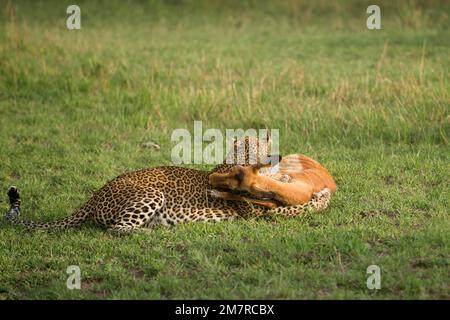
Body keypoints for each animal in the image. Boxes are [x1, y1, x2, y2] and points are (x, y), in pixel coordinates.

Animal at [3, 135, 332, 232]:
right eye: (258, 145)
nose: (277, 155)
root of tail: (95, 195)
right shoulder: (255, 212)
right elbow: (293, 207)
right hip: (151, 195)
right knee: (116, 229)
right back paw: (151, 233)